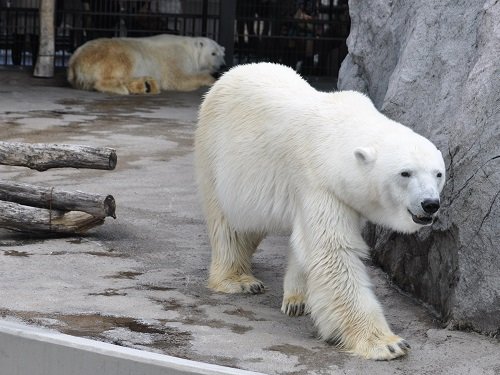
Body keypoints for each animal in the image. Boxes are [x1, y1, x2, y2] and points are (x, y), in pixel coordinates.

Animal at [66, 34, 225, 94]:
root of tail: (75, 60)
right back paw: (121, 88)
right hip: (117, 54)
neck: (190, 49)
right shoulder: (176, 57)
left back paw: (146, 85)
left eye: (222, 54)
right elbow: (178, 78)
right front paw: (212, 78)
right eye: (213, 53)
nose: (223, 65)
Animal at [194, 62, 446, 362]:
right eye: (405, 173)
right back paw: (239, 280)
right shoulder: (317, 181)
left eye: (438, 173)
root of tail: (229, 74)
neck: (338, 134)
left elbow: (308, 247)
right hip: (219, 156)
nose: (430, 204)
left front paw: (297, 299)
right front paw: (387, 343)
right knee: (230, 225)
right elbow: (333, 252)